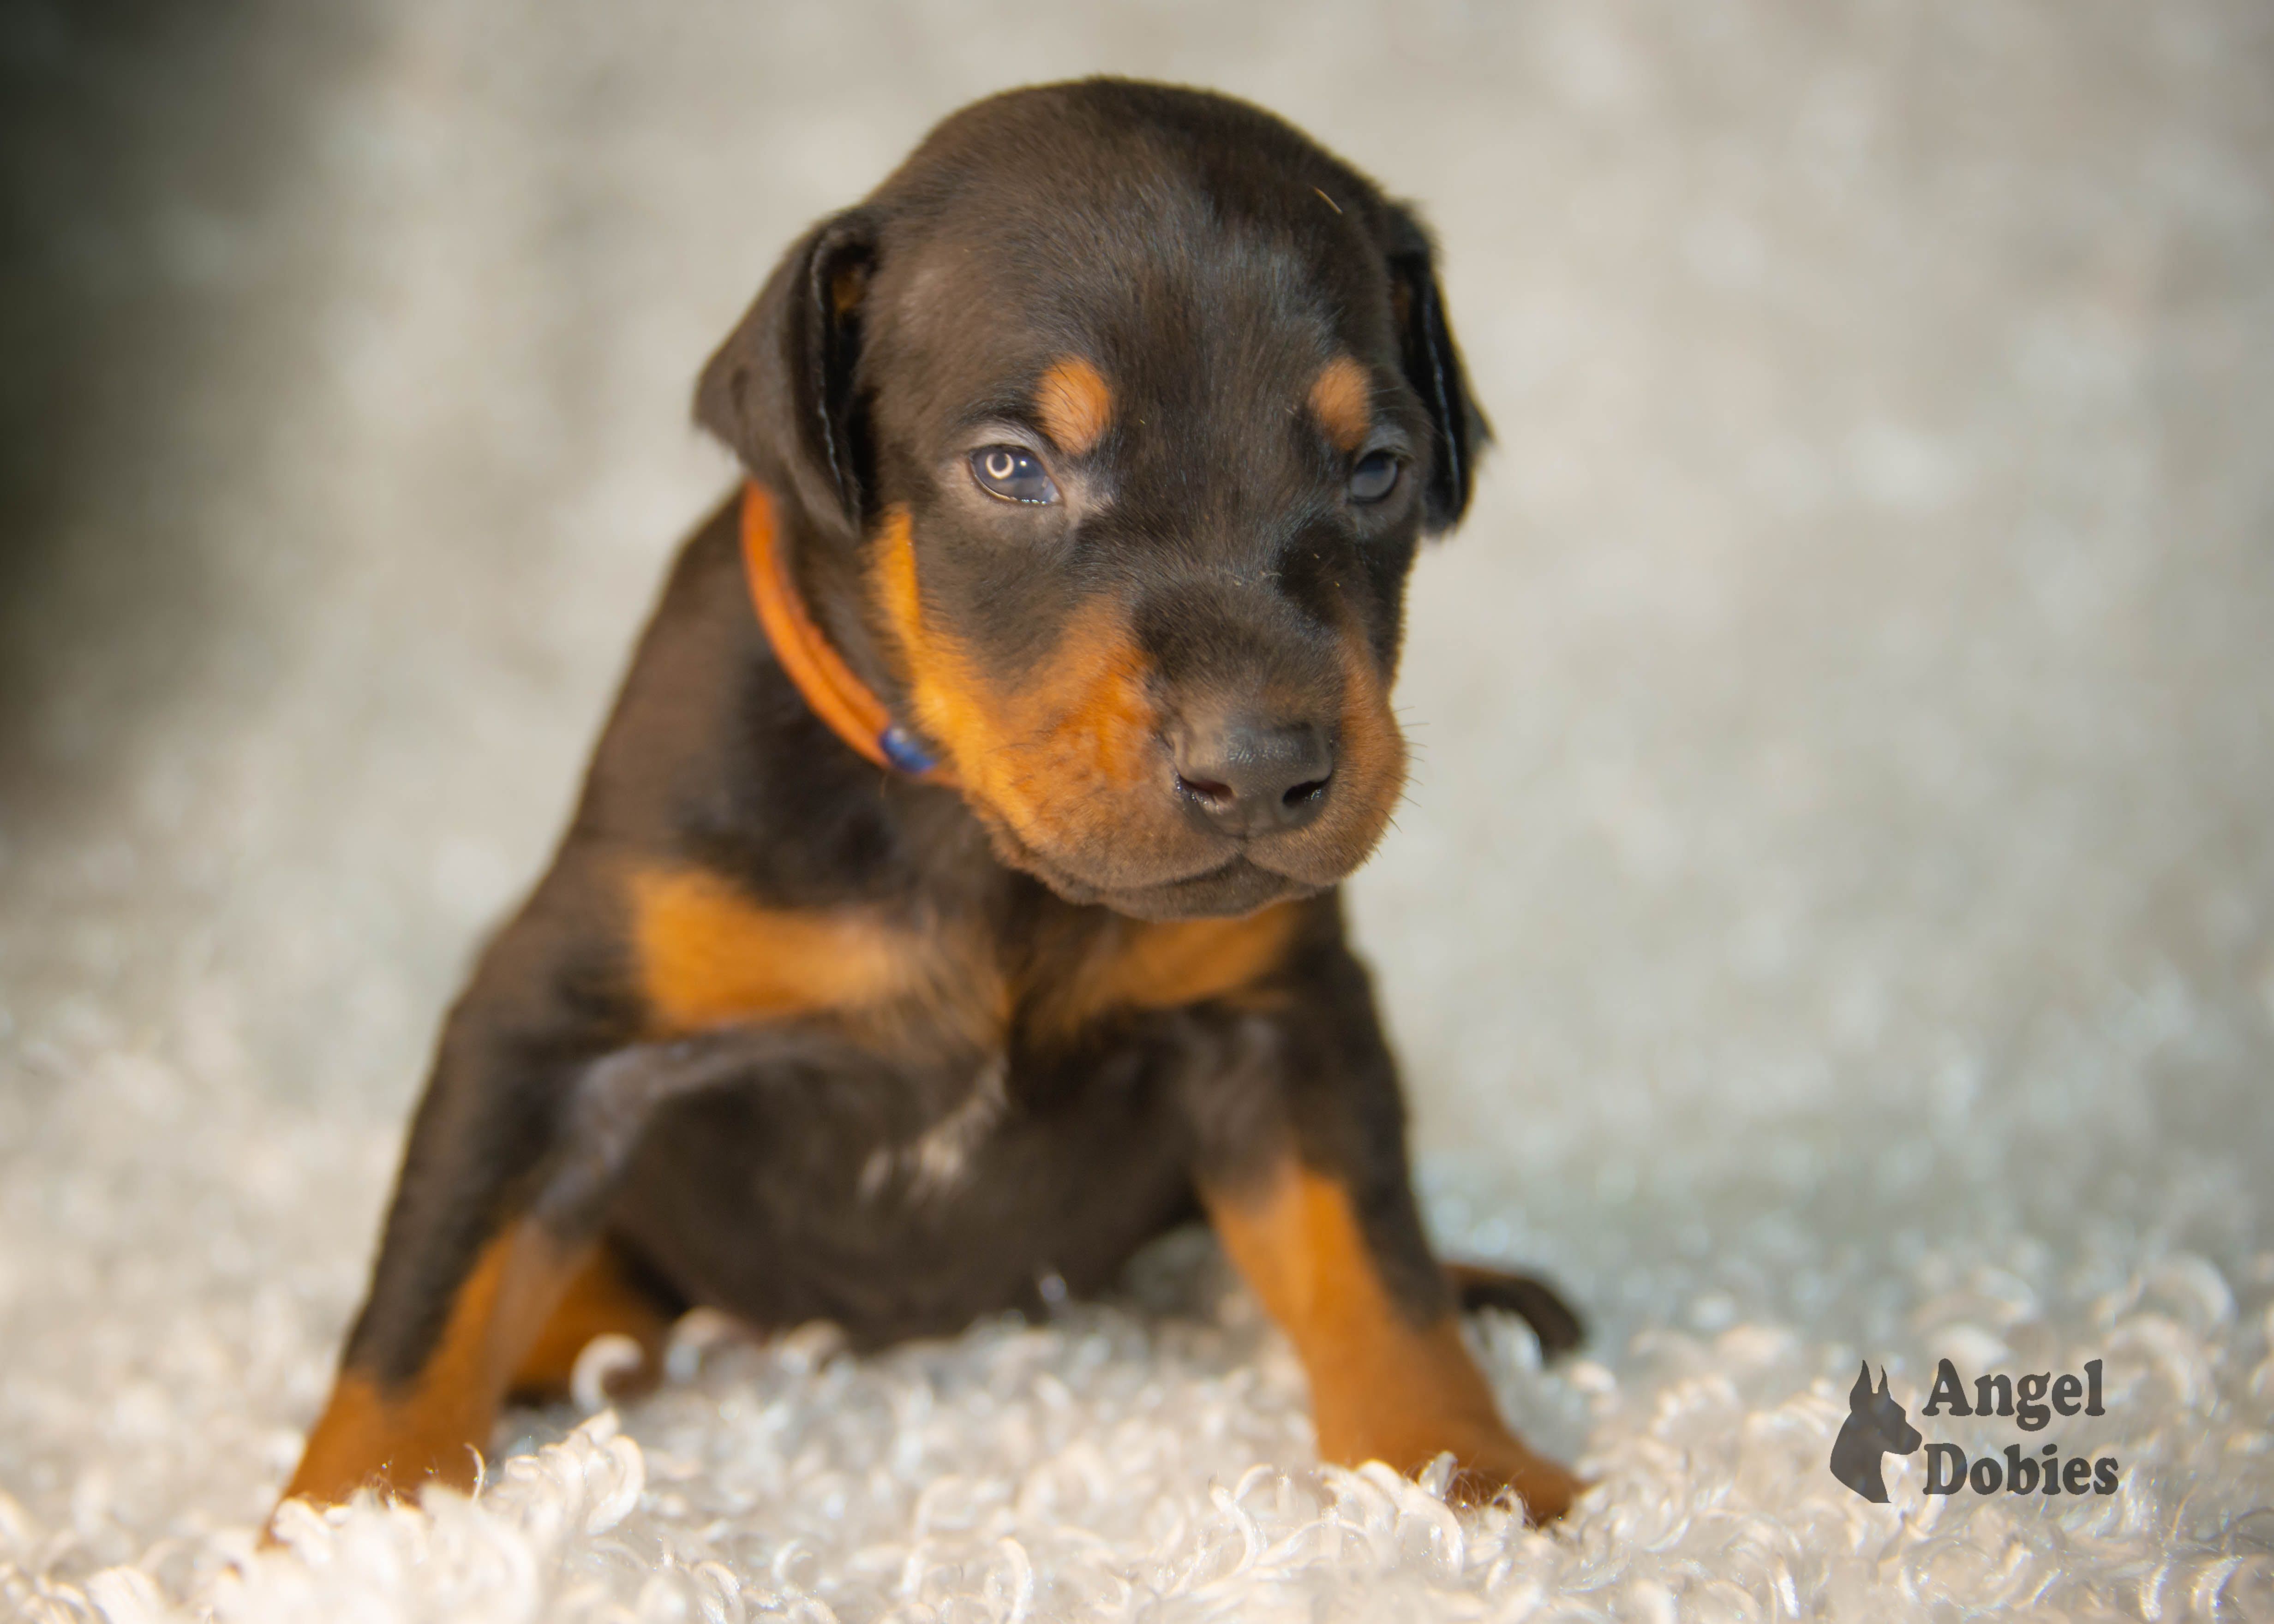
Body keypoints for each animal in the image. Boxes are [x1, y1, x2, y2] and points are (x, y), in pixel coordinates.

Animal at [284, 72, 1592, 1519]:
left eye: (1377, 470)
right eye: (1012, 467)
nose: (1261, 764)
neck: (969, 838)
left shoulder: (1287, 1022)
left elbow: (1372, 1258)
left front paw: (1465, 1471)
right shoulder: (545, 1032)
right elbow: (426, 1302)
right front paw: (346, 1521)